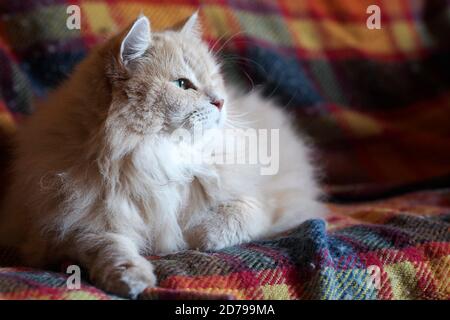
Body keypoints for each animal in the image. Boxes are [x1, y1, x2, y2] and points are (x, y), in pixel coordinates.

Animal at [0, 12, 326, 298]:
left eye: (214, 80)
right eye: (183, 85)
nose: (220, 102)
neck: (154, 155)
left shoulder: (258, 202)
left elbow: (231, 220)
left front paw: (197, 238)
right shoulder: (69, 229)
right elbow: (110, 249)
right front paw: (133, 280)